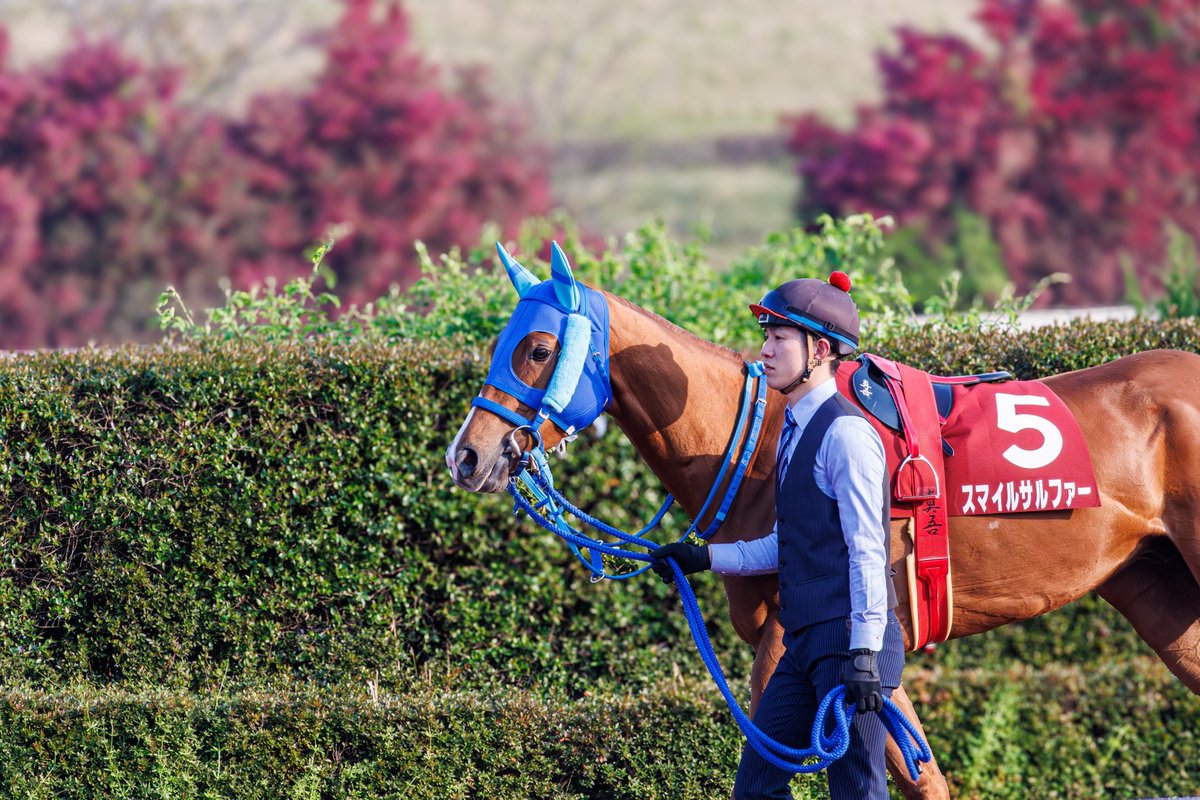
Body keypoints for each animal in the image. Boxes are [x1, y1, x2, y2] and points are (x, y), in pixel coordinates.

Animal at [445, 242, 1200, 800]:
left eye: (538, 349)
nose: (467, 455)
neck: (760, 438)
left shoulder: (800, 642)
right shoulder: (855, 665)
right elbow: (920, 775)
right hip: (1157, 591)